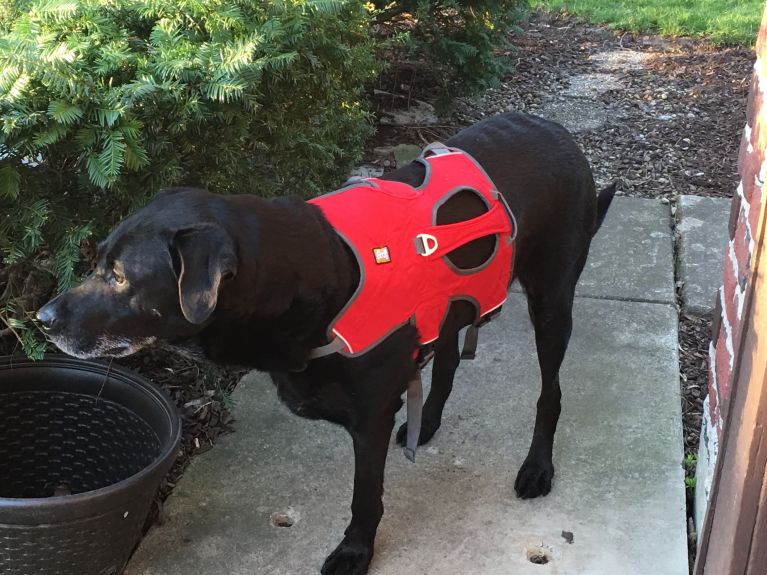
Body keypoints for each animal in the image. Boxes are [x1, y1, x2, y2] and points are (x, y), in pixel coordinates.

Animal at [37, 111, 616, 575]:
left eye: (119, 276)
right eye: (97, 260)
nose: (42, 319)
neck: (305, 274)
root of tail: (557, 130)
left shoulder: (370, 419)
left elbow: (365, 498)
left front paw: (355, 551)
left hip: (552, 300)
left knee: (550, 391)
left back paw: (537, 466)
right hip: (456, 301)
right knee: (449, 358)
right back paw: (427, 423)